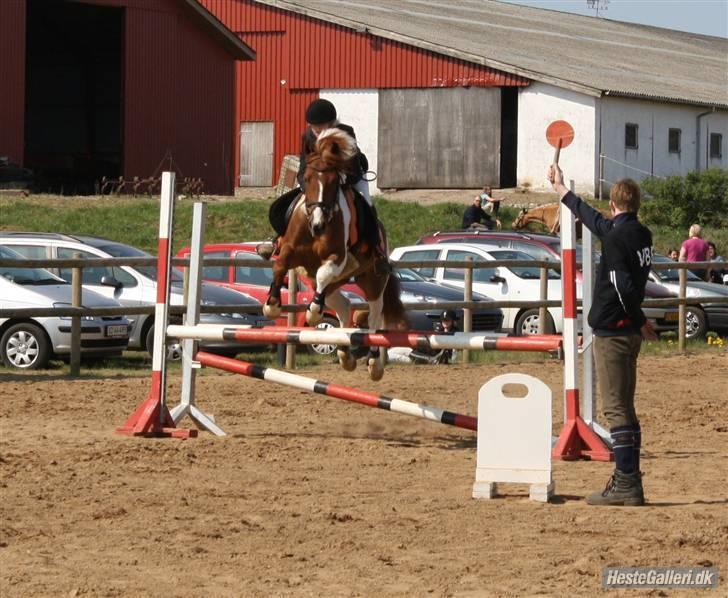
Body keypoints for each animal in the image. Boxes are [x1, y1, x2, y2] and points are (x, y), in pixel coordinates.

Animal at [264, 129, 410, 382]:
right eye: (307, 178)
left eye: (334, 182)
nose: (318, 225)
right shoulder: (290, 252)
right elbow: (279, 266)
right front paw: (271, 305)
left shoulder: (336, 258)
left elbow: (323, 275)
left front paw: (313, 314)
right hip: (330, 283)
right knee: (343, 306)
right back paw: (344, 352)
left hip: (372, 280)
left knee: (373, 315)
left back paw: (373, 363)